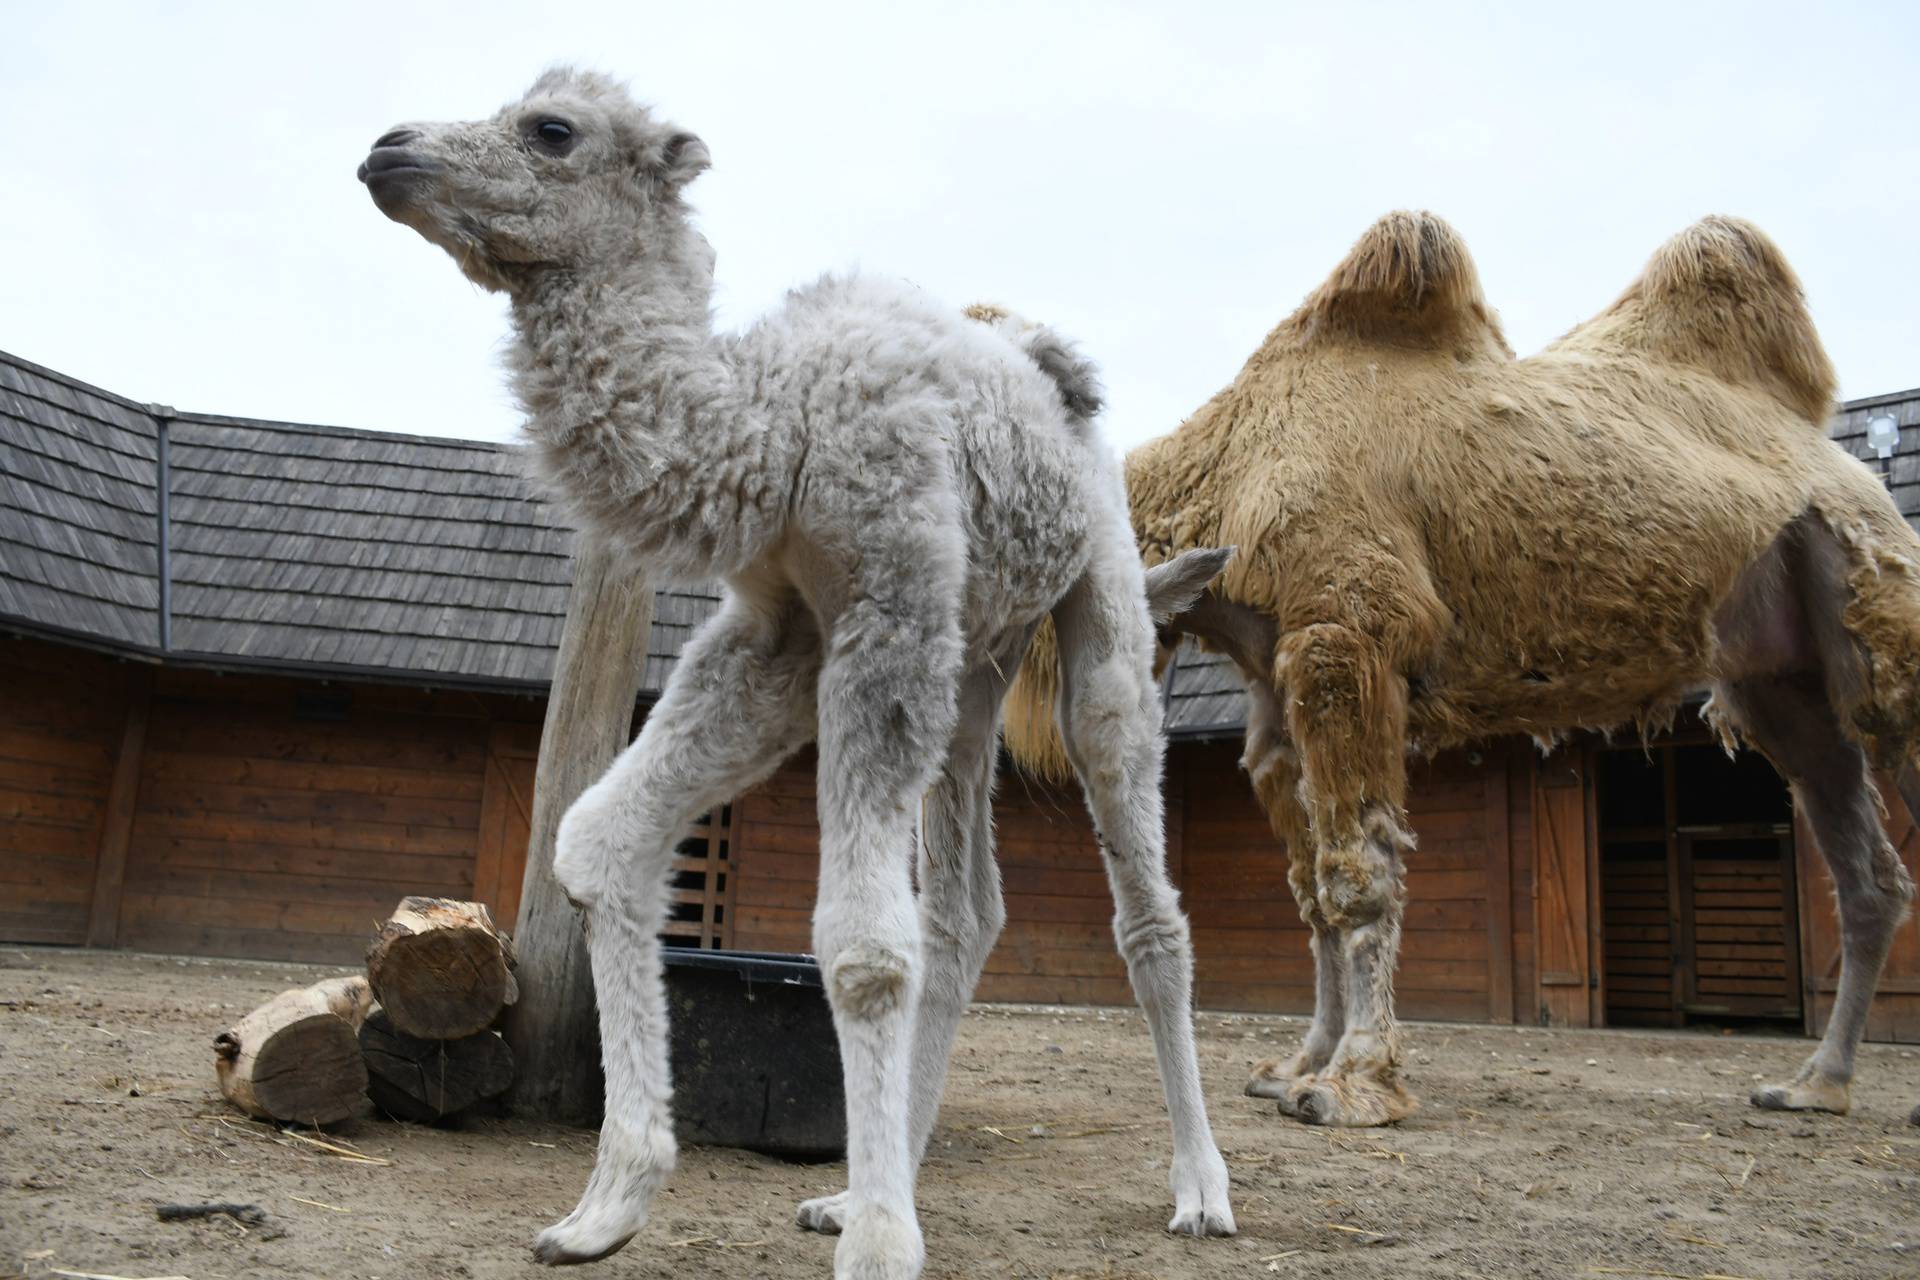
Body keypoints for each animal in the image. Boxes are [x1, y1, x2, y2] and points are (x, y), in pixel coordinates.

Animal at [357, 70, 1228, 1280]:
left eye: (552, 130)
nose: (388, 152)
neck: (775, 425)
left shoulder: (883, 605)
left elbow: (859, 948)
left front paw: (878, 1248)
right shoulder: (783, 628)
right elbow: (597, 843)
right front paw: (607, 1204)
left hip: (1096, 600)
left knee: (1144, 898)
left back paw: (1198, 1189)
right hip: (975, 661)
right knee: (966, 909)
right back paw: (871, 1180)